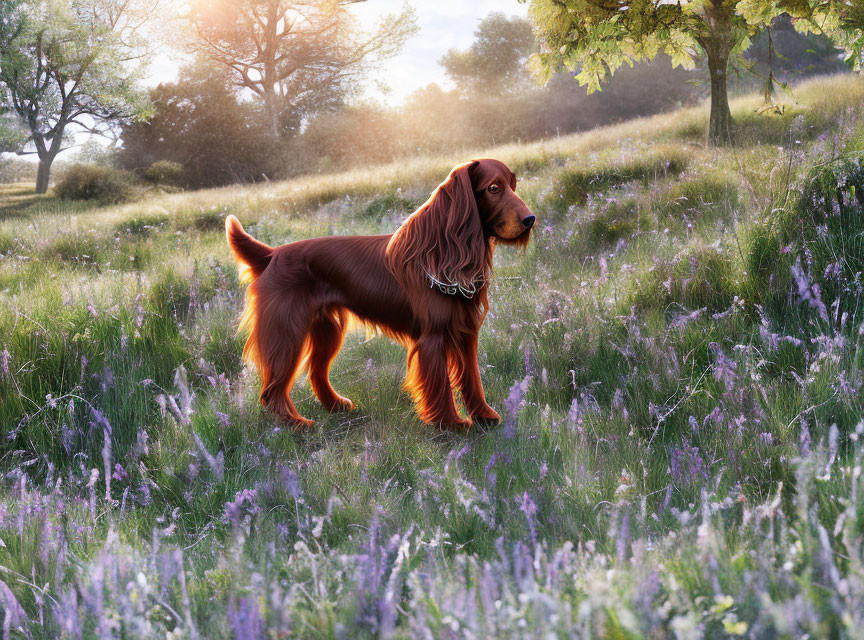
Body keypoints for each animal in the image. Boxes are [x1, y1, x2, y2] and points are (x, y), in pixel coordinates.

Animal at [224, 159, 532, 430]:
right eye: (494, 188)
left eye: (513, 184)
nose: (531, 219)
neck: (442, 253)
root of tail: (273, 255)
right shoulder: (433, 337)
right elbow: (441, 384)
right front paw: (451, 424)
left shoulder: (466, 333)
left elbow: (473, 380)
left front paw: (484, 416)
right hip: (286, 333)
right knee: (273, 389)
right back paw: (295, 423)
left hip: (327, 329)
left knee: (315, 372)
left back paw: (335, 405)